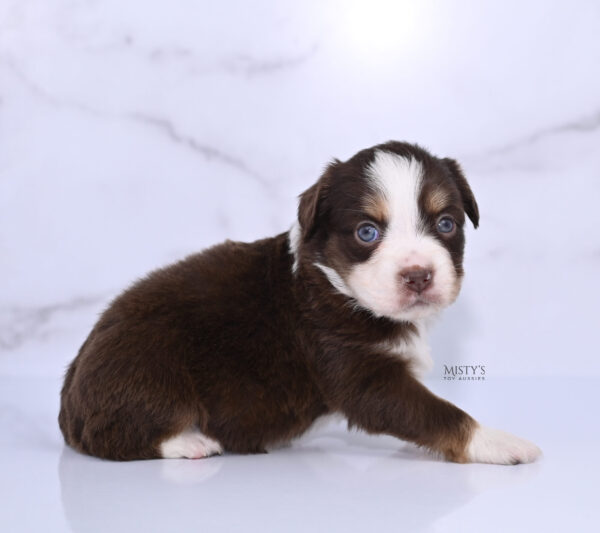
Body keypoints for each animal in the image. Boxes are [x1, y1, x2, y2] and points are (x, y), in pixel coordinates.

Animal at [61, 140, 544, 462]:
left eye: (446, 223)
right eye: (366, 232)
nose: (419, 275)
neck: (337, 286)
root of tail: (69, 400)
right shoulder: (357, 371)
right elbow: (438, 412)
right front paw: (500, 441)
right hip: (147, 367)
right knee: (118, 434)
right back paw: (192, 441)